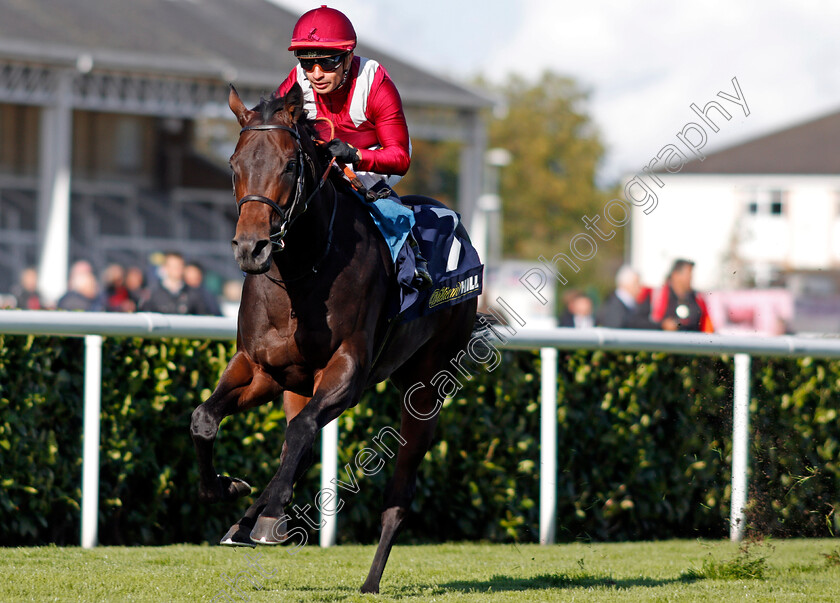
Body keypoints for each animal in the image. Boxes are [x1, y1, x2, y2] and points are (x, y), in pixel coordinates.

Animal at [190, 84, 480, 596]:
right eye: (233, 162)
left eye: (290, 164)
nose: (251, 249)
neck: (301, 273)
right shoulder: (261, 369)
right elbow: (205, 419)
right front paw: (225, 489)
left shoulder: (347, 371)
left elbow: (302, 432)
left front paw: (269, 517)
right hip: (300, 386)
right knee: (295, 445)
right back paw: (245, 520)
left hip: (426, 390)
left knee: (397, 491)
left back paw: (368, 580)